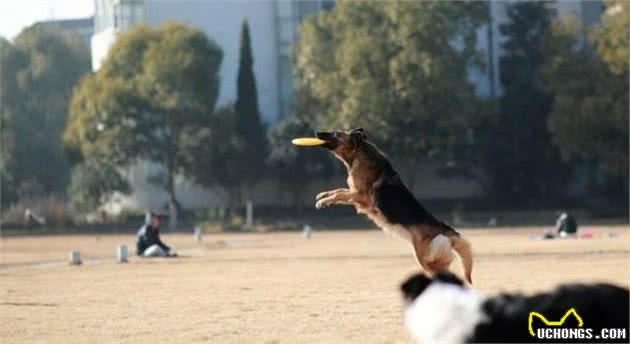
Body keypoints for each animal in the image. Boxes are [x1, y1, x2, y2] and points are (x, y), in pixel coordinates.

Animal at [316, 127, 474, 284]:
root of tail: (446, 230)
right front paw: (322, 196)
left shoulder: (361, 196)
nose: (316, 132)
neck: (358, 154)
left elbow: (338, 194)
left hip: (426, 260)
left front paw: (322, 202)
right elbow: (338, 191)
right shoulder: (354, 193)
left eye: (335, 133)